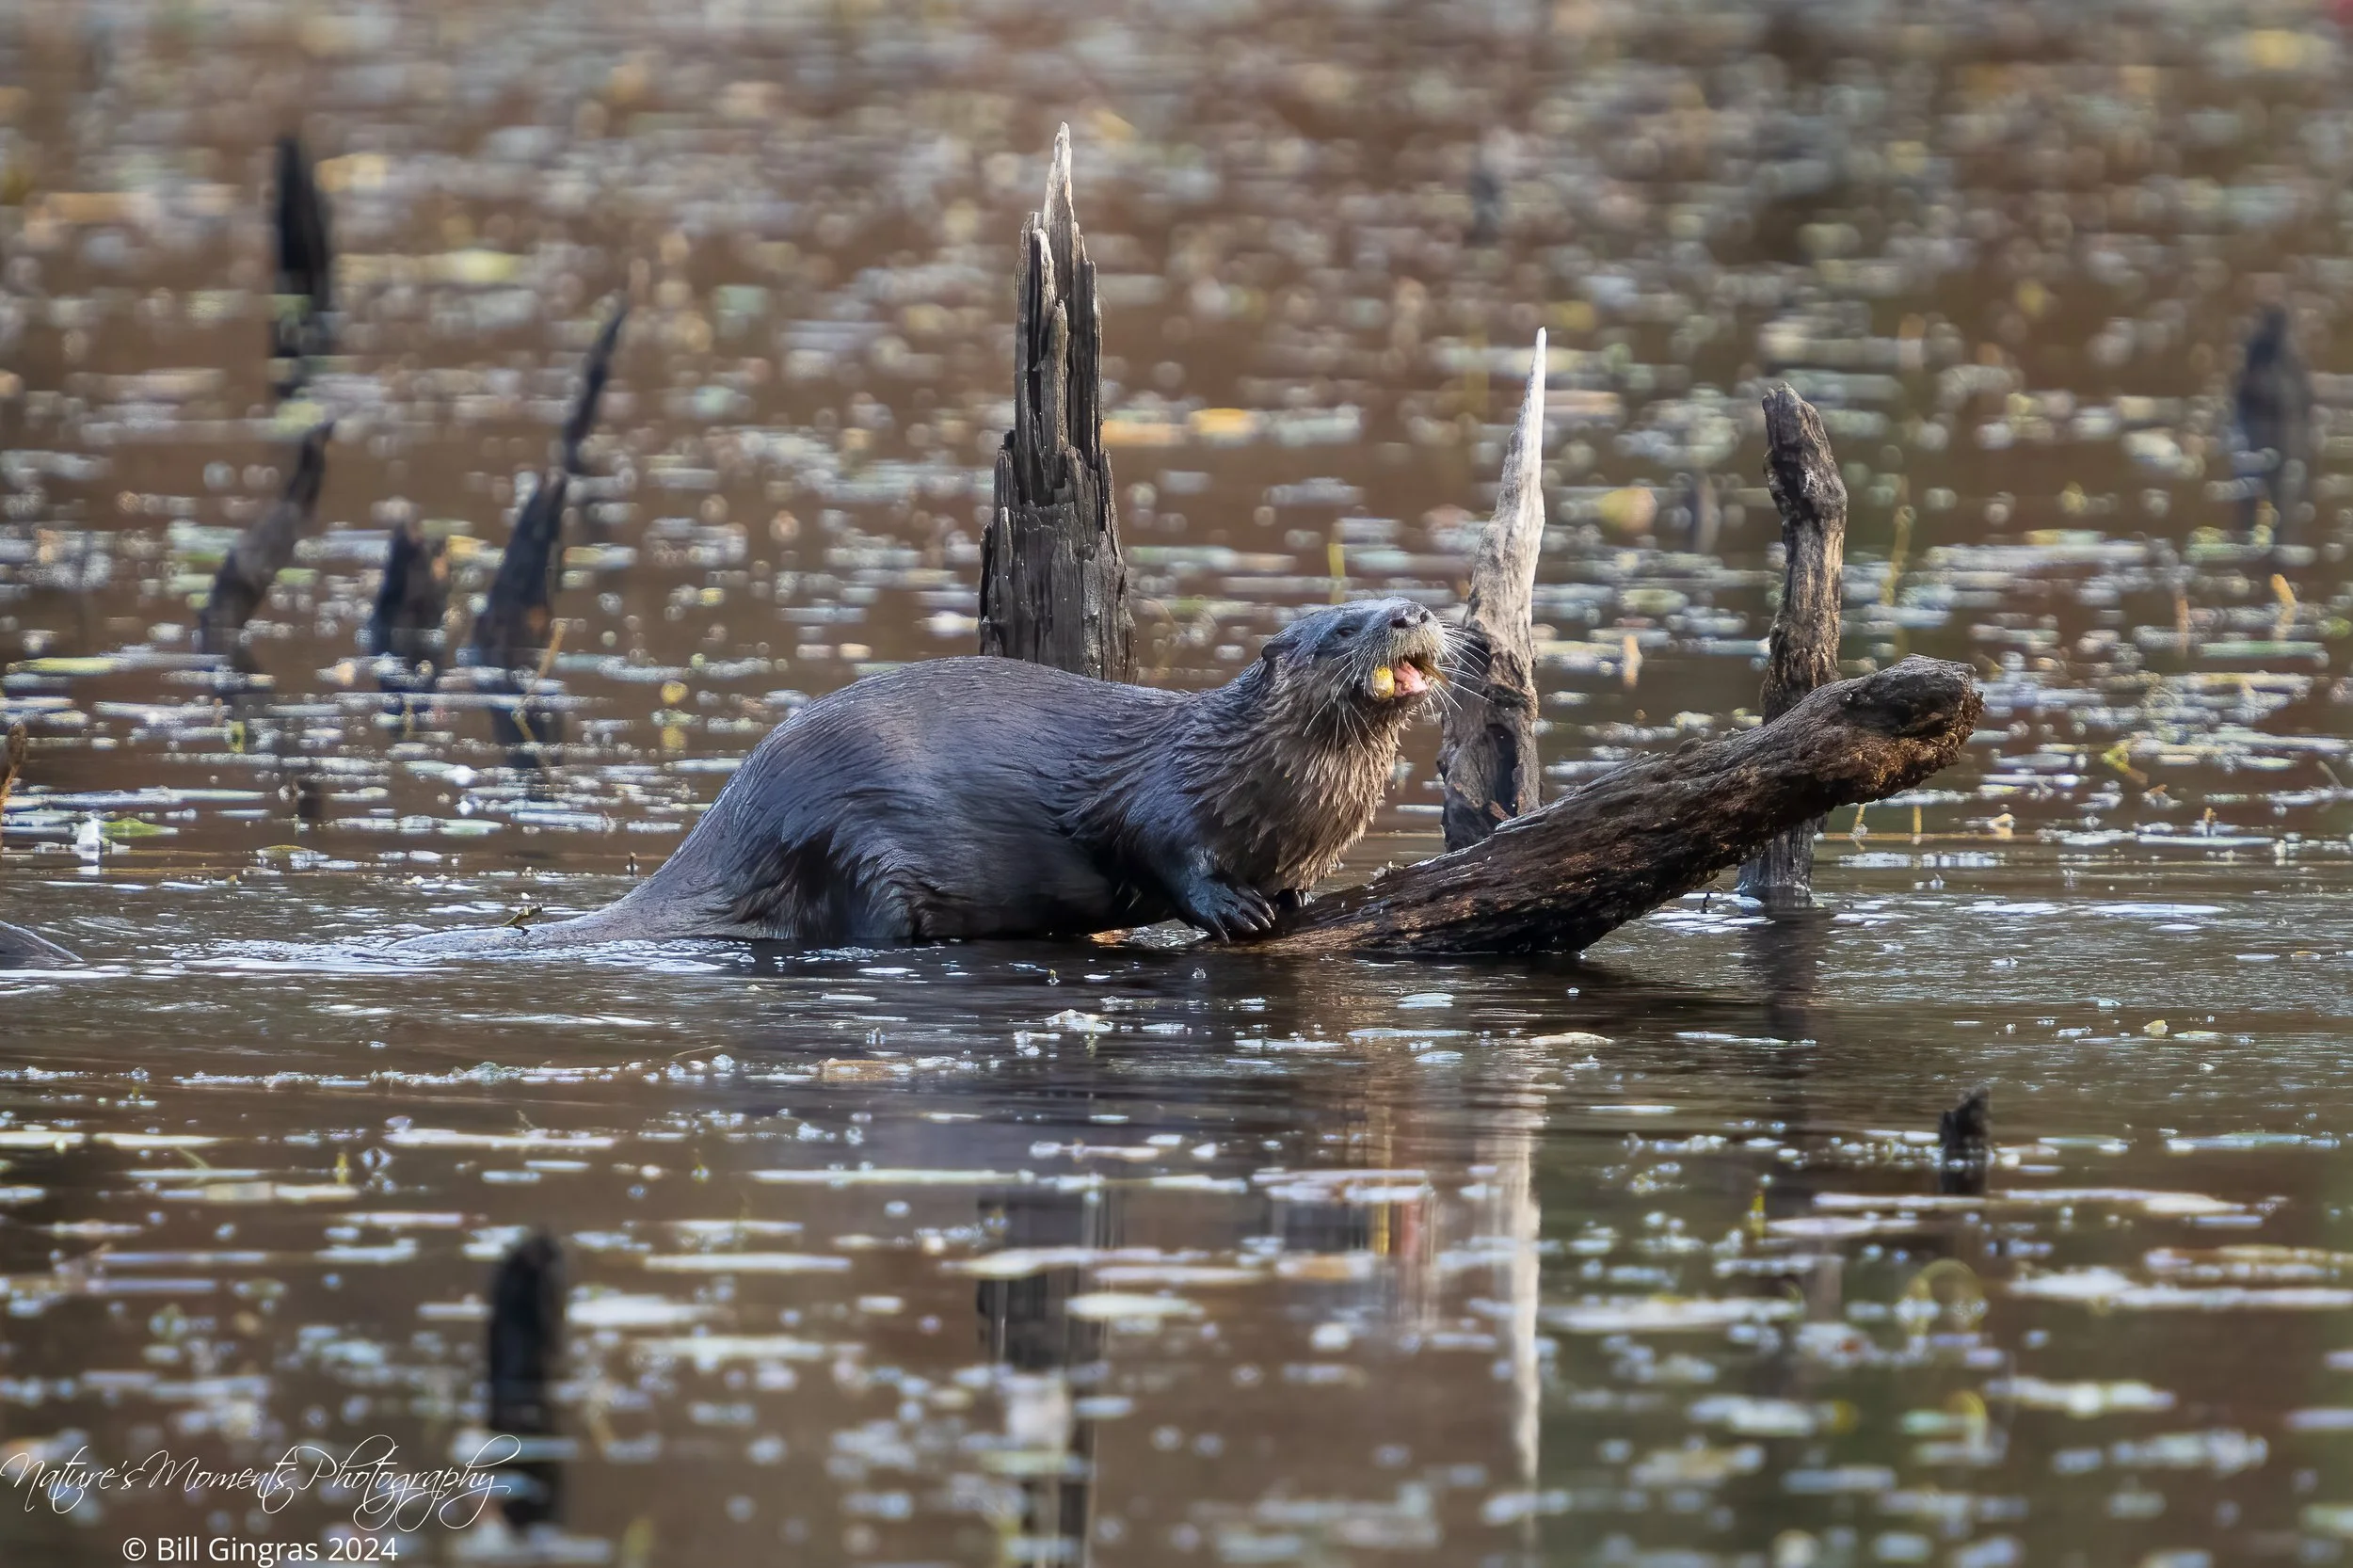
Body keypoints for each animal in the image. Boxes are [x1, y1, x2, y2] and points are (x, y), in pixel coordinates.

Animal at [389, 598, 1447, 955]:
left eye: (1407, 600)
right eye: (1342, 625)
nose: (1410, 611)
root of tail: (744, 803)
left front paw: (1289, 897)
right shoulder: (1158, 797)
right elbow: (1159, 849)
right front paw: (1231, 908)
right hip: (857, 841)